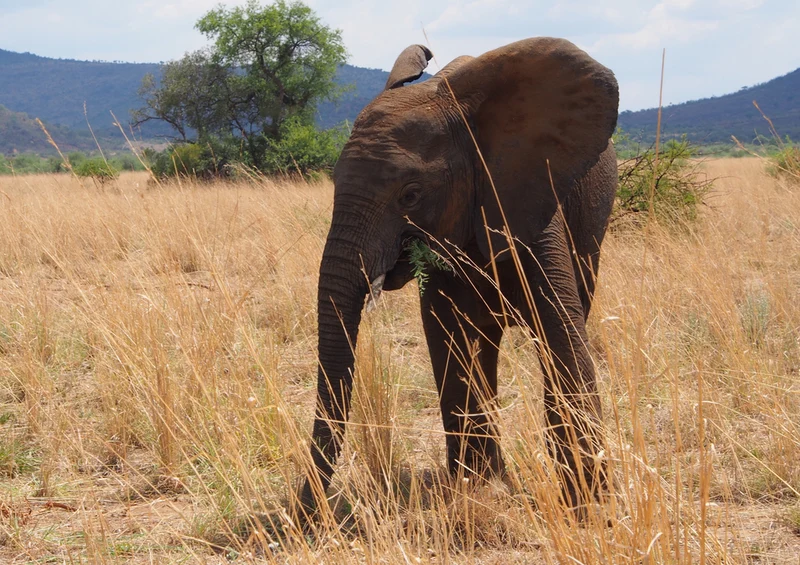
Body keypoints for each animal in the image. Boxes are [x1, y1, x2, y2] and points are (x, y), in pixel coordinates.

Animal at [298, 37, 619, 516]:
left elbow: (561, 330)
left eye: (410, 195)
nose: (307, 513)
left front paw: (589, 507)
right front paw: (479, 491)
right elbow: (449, 337)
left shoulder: (529, 200)